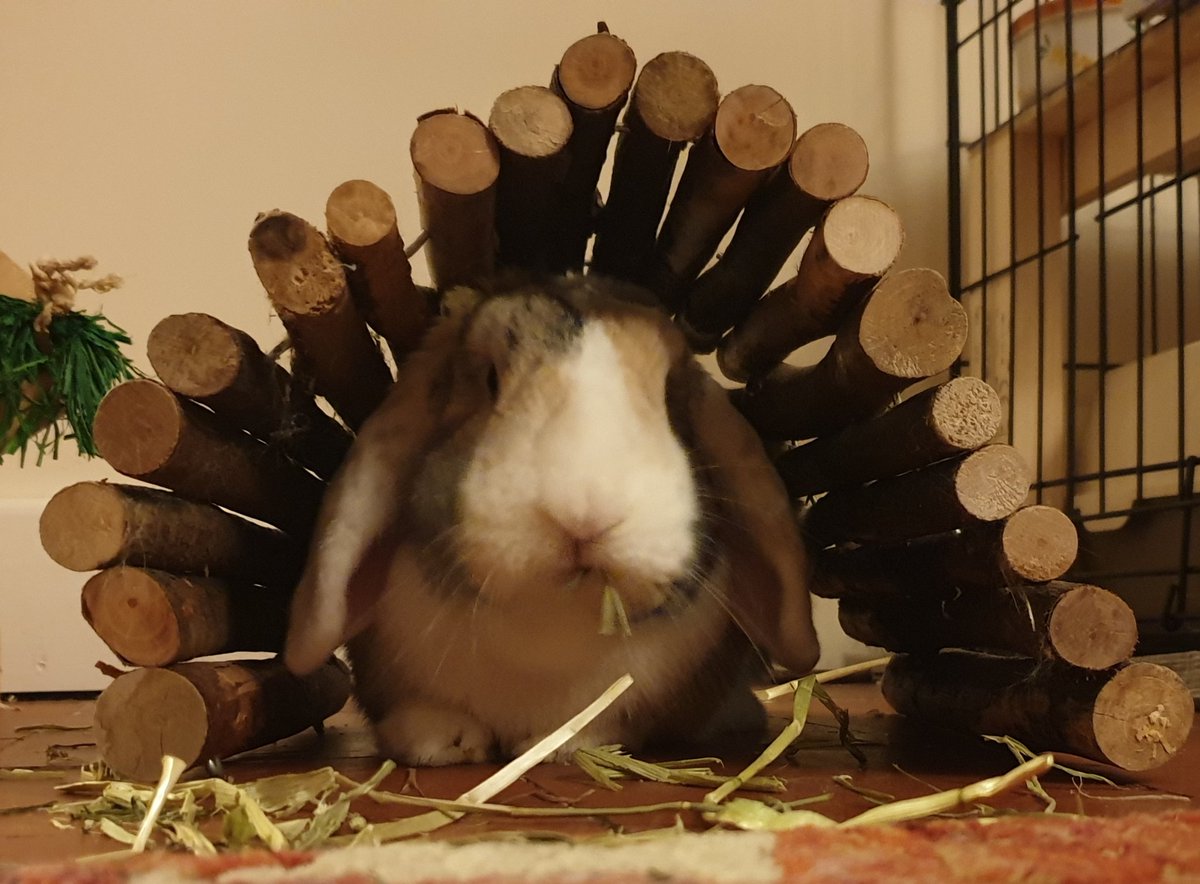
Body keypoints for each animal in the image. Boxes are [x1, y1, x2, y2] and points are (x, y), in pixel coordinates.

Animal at [285, 275, 820, 767]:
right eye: (489, 379)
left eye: (671, 397)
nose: (585, 514)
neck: (550, 625)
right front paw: (444, 743)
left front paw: (561, 744)